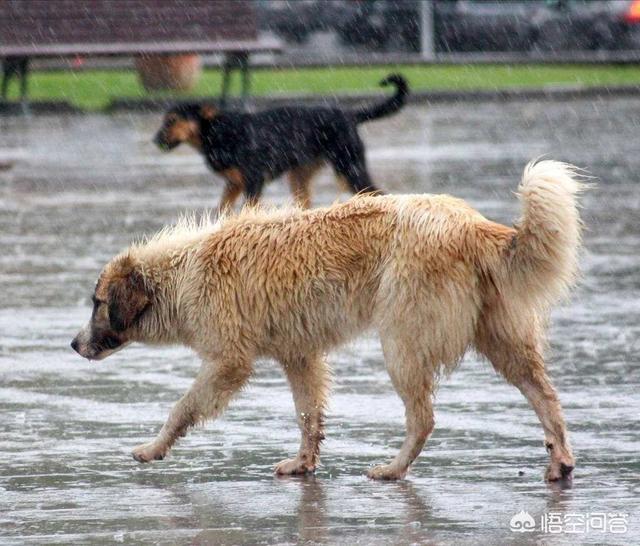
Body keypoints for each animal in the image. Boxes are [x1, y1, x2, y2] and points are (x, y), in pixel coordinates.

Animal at [71, 159, 584, 478]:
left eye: (97, 303)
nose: (73, 344)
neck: (180, 276)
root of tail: (473, 224)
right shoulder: (299, 356)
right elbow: (308, 414)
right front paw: (304, 463)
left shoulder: (228, 362)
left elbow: (182, 407)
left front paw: (153, 448)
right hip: (500, 337)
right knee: (544, 395)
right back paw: (559, 461)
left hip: (403, 341)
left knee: (423, 417)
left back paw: (393, 469)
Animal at [152, 75, 408, 211]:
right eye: (164, 120)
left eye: (172, 120)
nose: (154, 141)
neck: (217, 131)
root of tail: (348, 115)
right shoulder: (233, 184)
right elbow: (222, 210)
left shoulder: (253, 181)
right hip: (299, 179)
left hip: (349, 170)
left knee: (379, 194)